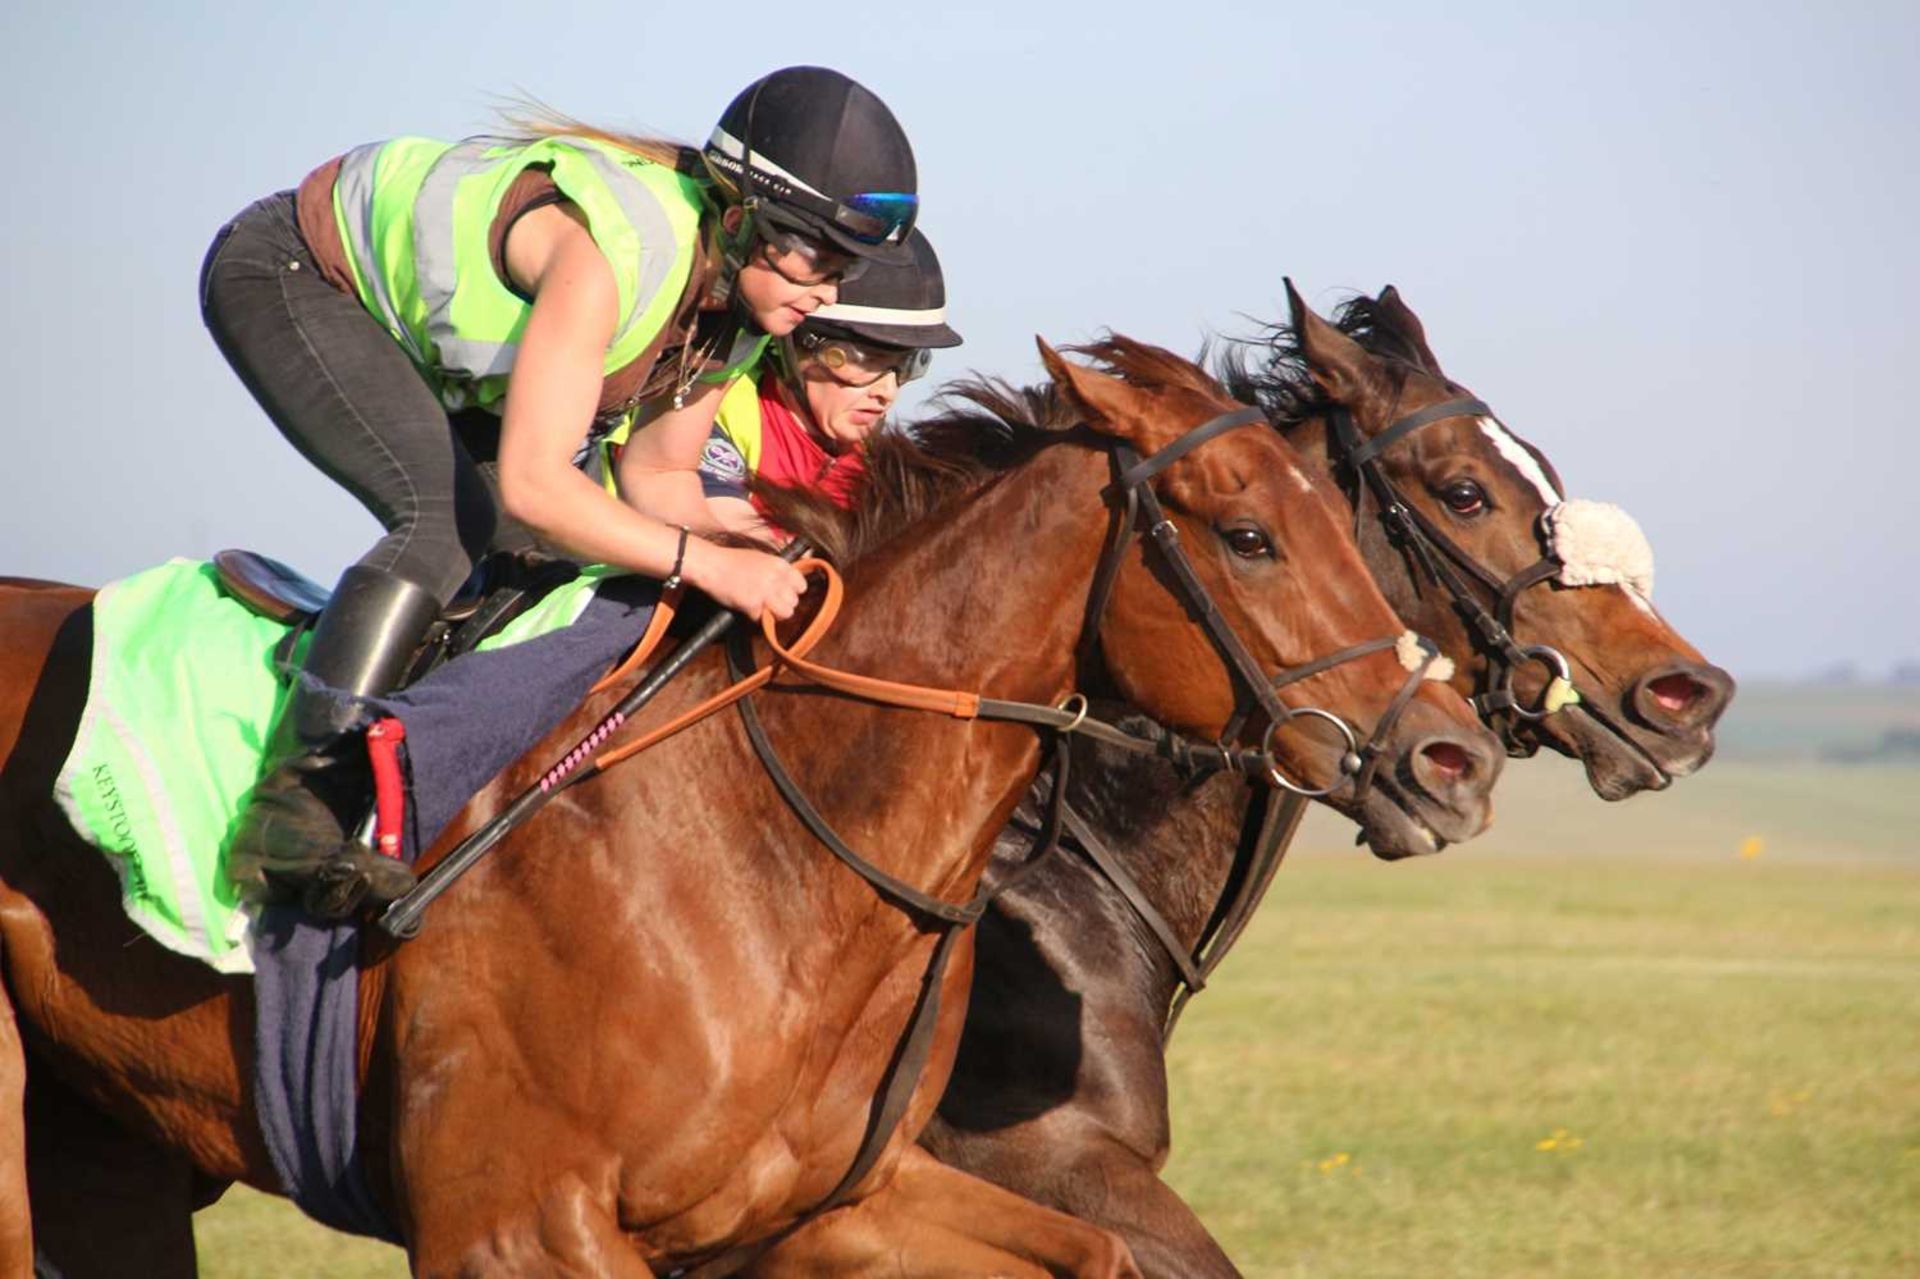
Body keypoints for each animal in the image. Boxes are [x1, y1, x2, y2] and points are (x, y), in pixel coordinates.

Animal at [0, 334, 1505, 1267]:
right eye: (1249, 535)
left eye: (1338, 520)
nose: (1453, 758)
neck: (776, 846)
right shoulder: (519, 1226)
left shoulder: (827, 1206)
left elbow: (1096, 1257)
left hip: (108, 1154)